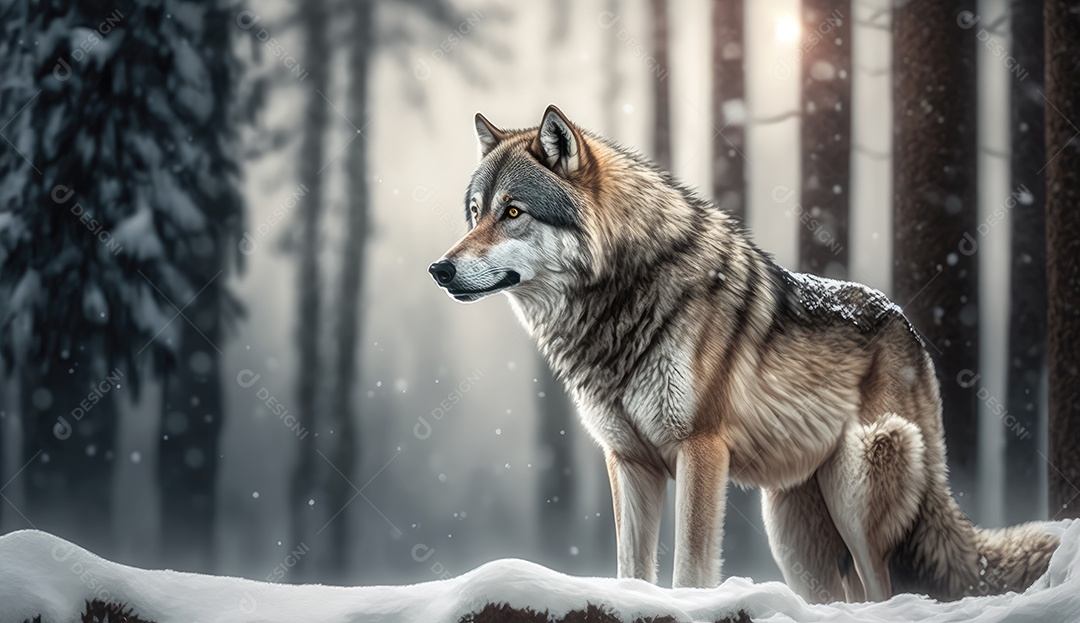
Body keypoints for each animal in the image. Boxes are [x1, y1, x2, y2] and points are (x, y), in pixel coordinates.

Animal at [428, 105, 1059, 601]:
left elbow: (689, 570)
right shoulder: (628, 462)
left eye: (513, 212)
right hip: (794, 537)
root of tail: (908, 326)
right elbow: (631, 571)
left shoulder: (701, 449)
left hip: (859, 482)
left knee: (886, 590)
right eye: (475, 212)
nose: (439, 269)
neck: (622, 301)